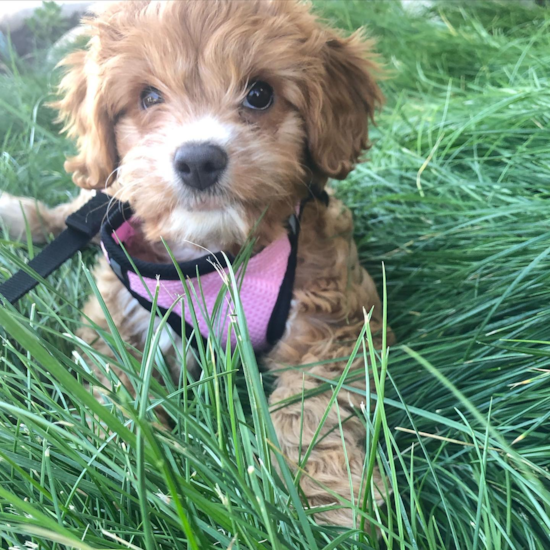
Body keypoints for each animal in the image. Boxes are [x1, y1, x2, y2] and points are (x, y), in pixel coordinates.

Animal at [2, 0, 394, 532]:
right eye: (148, 97)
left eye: (260, 94)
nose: (198, 160)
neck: (212, 253)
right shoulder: (116, 311)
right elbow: (115, 384)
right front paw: (128, 454)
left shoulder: (333, 319)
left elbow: (314, 403)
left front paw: (330, 498)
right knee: (74, 208)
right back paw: (18, 216)